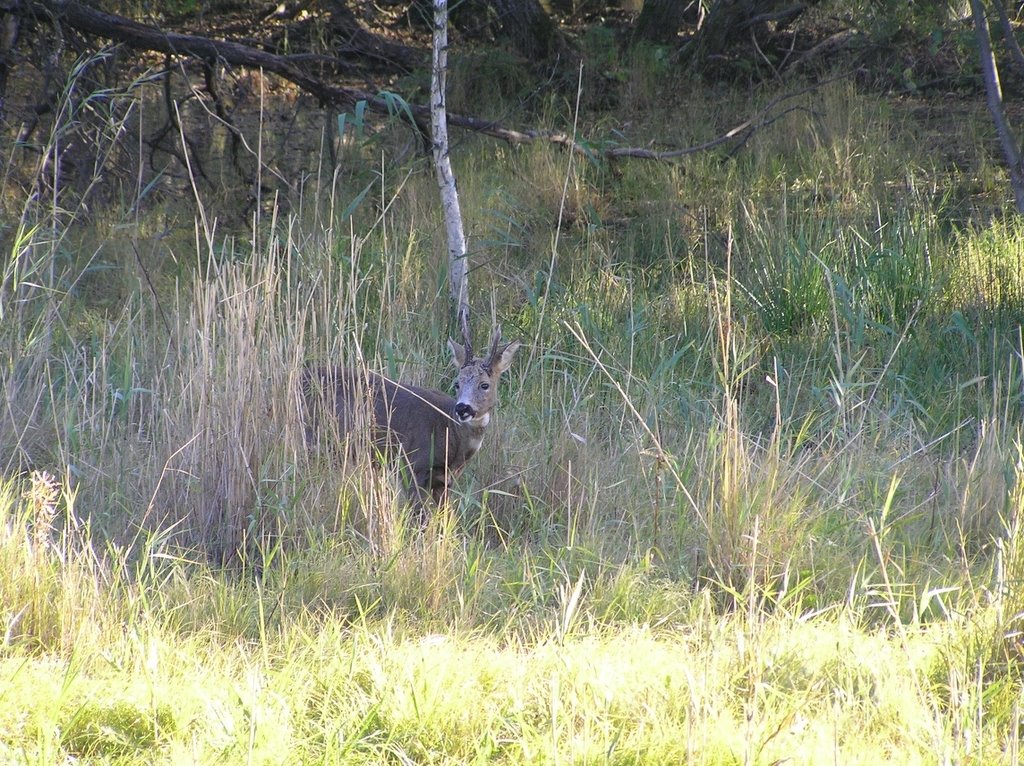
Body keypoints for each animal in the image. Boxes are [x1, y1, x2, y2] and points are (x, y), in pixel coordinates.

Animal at [303, 325, 520, 505]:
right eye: (457, 383)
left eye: (484, 385)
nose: (462, 408)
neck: (450, 432)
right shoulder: (411, 467)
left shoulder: (444, 481)